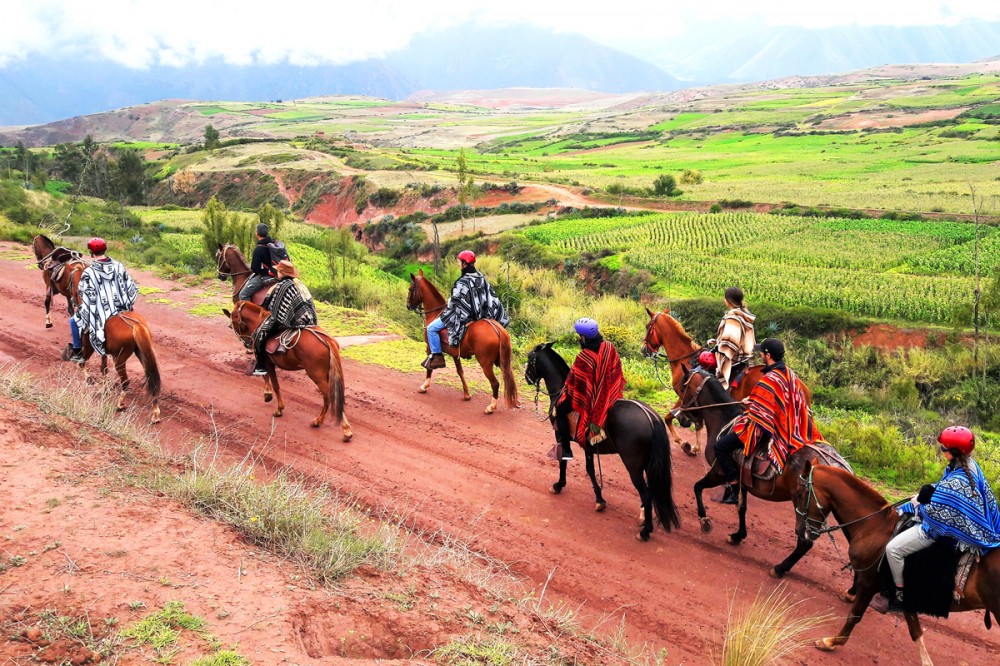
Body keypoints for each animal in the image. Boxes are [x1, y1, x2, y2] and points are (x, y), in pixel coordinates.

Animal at [225, 298, 354, 438]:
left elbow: (274, 384)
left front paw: (278, 407)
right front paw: (268, 395)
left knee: (329, 396)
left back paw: (342, 427)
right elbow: (267, 378)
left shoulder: (267, 362)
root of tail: (327, 341)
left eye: (234, 320)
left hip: (317, 375)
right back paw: (322, 421)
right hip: (327, 374)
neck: (259, 322)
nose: (246, 343)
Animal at [406, 268, 520, 412]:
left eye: (410, 289)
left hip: (486, 364)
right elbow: (460, 372)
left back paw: (491, 407)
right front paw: (466, 394)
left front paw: (424, 386)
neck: (435, 313)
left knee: (495, 383)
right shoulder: (456, 354)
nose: (408, 305)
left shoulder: (429, 347)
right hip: (503, 361)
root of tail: (498, 330)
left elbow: (429, 368)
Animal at [524, 342, 680, 540]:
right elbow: (590, 470)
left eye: (530, 357)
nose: (527, 377)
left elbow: (563, 460)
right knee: (651, 491)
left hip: (633, 466)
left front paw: (558, 485)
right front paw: (599, 499)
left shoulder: (561, 436)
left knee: (645, 493)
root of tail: (652, 417)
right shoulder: (588, 446)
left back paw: (645, 531)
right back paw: (644, 516)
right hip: (648, 463)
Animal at [672, 368, 852, 576]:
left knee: (805, 541)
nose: (681, 417)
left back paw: (781, 568)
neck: (723, 420)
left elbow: (697, 487)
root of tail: (838, 467)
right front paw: (738, 535)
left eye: (683, 387)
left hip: (804, 506)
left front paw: (704, 519)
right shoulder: (741, 482)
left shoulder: (719, 472)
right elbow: (741, 508)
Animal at [792, 462, 996, 664]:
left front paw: (831, 642)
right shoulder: (907, 597)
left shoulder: (868, 583)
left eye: (800, 495)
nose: (800, 532)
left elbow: (854, 615)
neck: (875, 526)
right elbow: (916, 630)